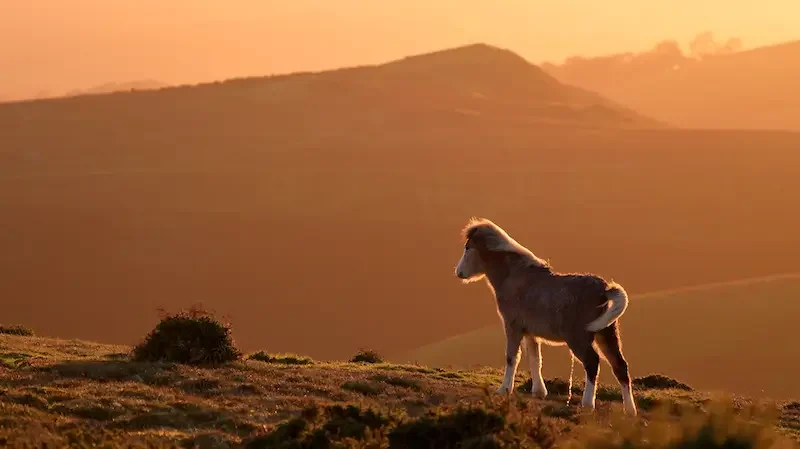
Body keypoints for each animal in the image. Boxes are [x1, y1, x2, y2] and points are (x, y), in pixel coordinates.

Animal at [454, 217, 637, 415]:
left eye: (467, 247)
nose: (459, 272)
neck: (513, 276)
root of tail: (604, 290)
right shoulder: (529, 332)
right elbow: (535, 359)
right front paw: (539, 391)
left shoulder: (512, 326)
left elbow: (512, 357)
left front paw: (504, 389)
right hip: (607, 332)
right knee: (620, 366)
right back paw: (630, 410)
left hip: (579, 338)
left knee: (592, 362)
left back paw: (588, 403)